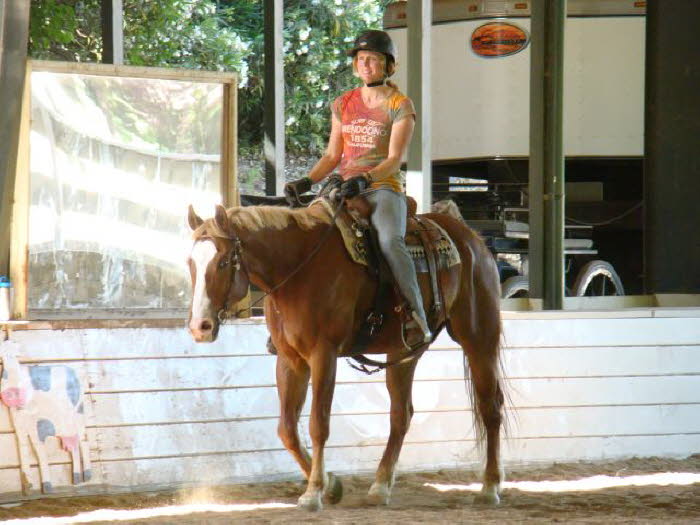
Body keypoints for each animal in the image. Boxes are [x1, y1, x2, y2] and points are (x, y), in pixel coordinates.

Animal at [186, 200, 504, 508]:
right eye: (190, 263)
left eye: (223, 261)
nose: (200, 327)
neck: (298, 269)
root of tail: (472, 239)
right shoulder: (290, 360)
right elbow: (287, 430)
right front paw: (331, 486)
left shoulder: (323, 354)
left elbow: (318, 424)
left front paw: (314, 492)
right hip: (404, 352)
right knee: (401, 414)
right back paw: (380, 486)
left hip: (479, 339)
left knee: (490, 407)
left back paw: (489, 488)